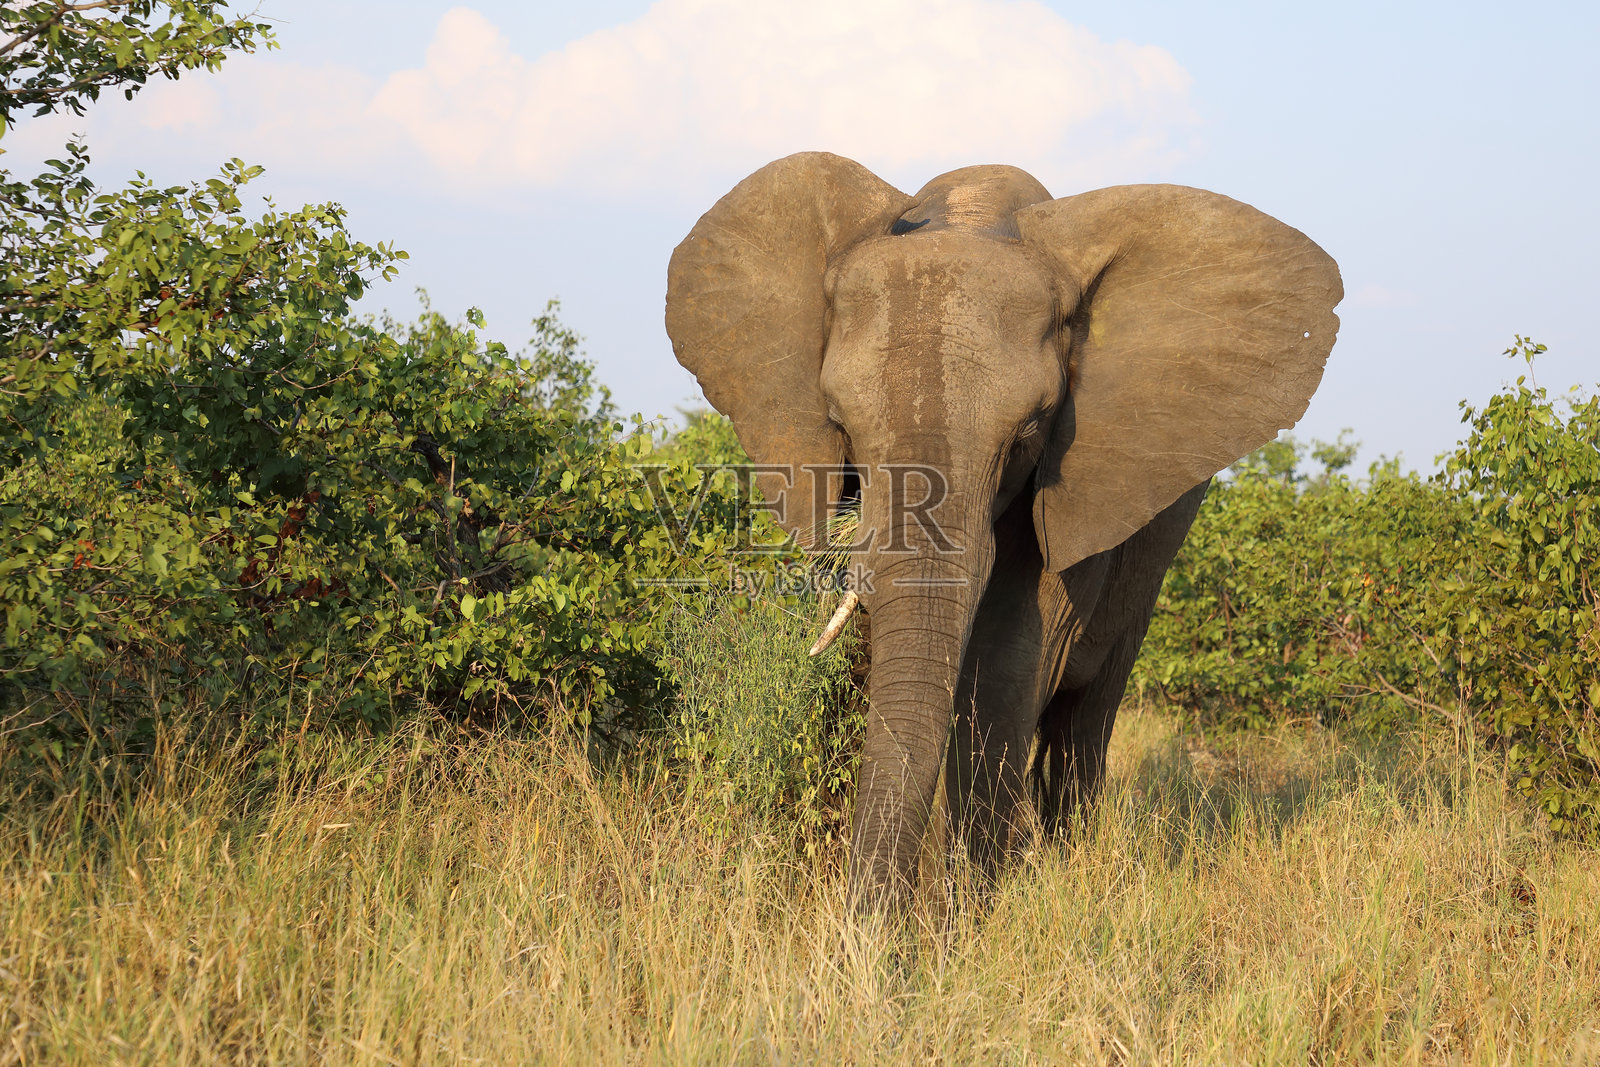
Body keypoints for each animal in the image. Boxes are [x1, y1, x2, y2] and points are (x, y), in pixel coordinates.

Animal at [665, 152, 1341, 908]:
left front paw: (970, 907)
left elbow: (1011, 655)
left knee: (1084, 718)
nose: (863, 929)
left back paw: (1067, 855)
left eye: (1028, 432)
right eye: (839, 424)